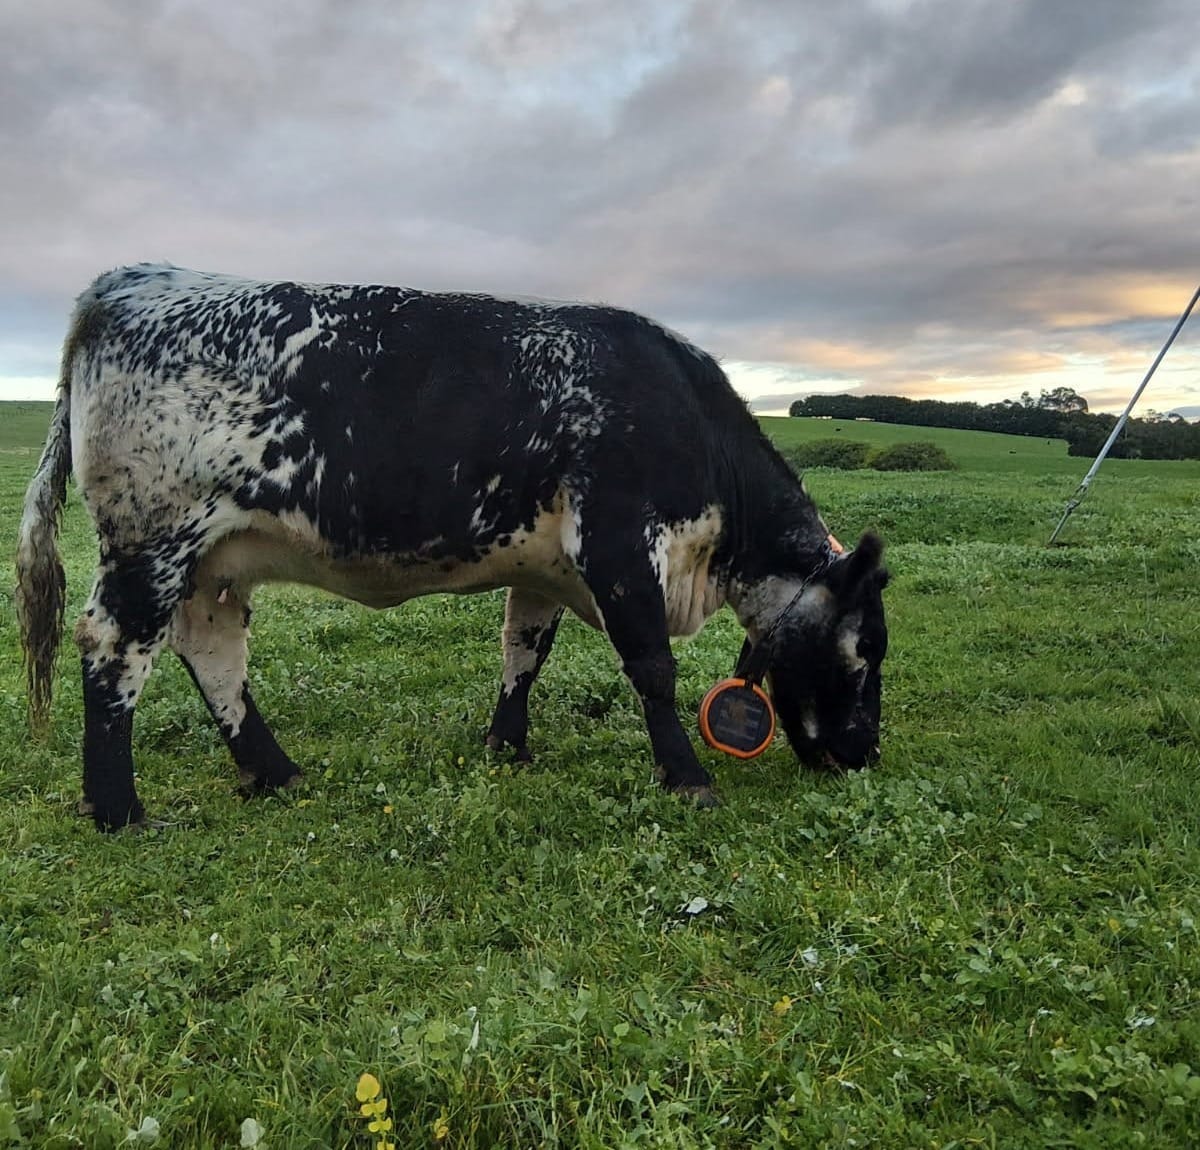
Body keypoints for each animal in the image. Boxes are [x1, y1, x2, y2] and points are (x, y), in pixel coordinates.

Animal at [17, 264, 888, 832]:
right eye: (864, 649)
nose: (863, 753)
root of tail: (132, 280)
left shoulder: (547, 563)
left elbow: (523, 650)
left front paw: (507, 747)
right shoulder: (617, 541)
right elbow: (652, 667)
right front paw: (688, 778)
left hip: (209, 560)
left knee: (211, 650)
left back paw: (273, 771)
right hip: (152, 540)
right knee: (115, 649)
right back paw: (119, 809)